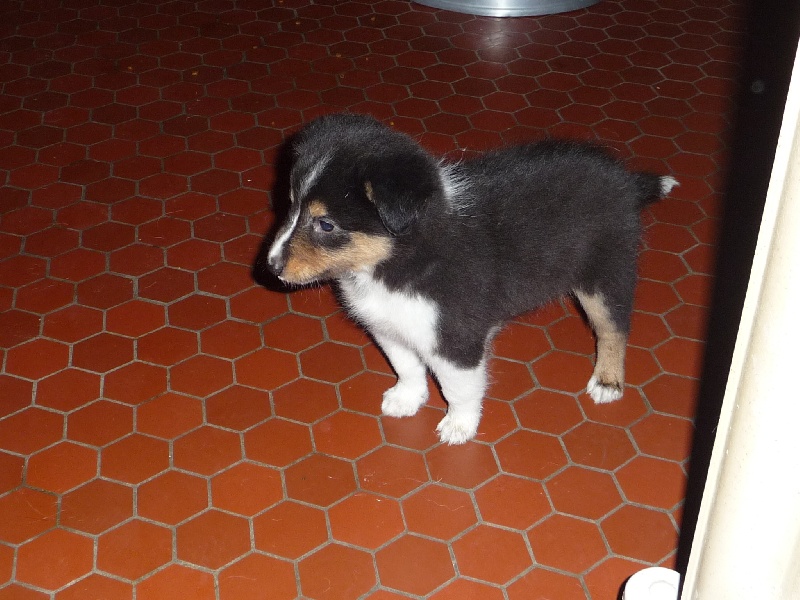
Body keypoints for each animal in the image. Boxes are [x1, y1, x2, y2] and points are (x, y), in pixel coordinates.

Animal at [265, 113, 677, 445]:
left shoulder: (455, 336)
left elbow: (457, 386)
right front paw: (406, 399)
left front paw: (458, 426)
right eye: (290, 204)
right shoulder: (389, 325)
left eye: (326, 224)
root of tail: (626, 181)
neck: (396, 263)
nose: (270, 266)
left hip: (605, 271)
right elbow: (406, 364)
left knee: (613, 328)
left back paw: (607, 381)